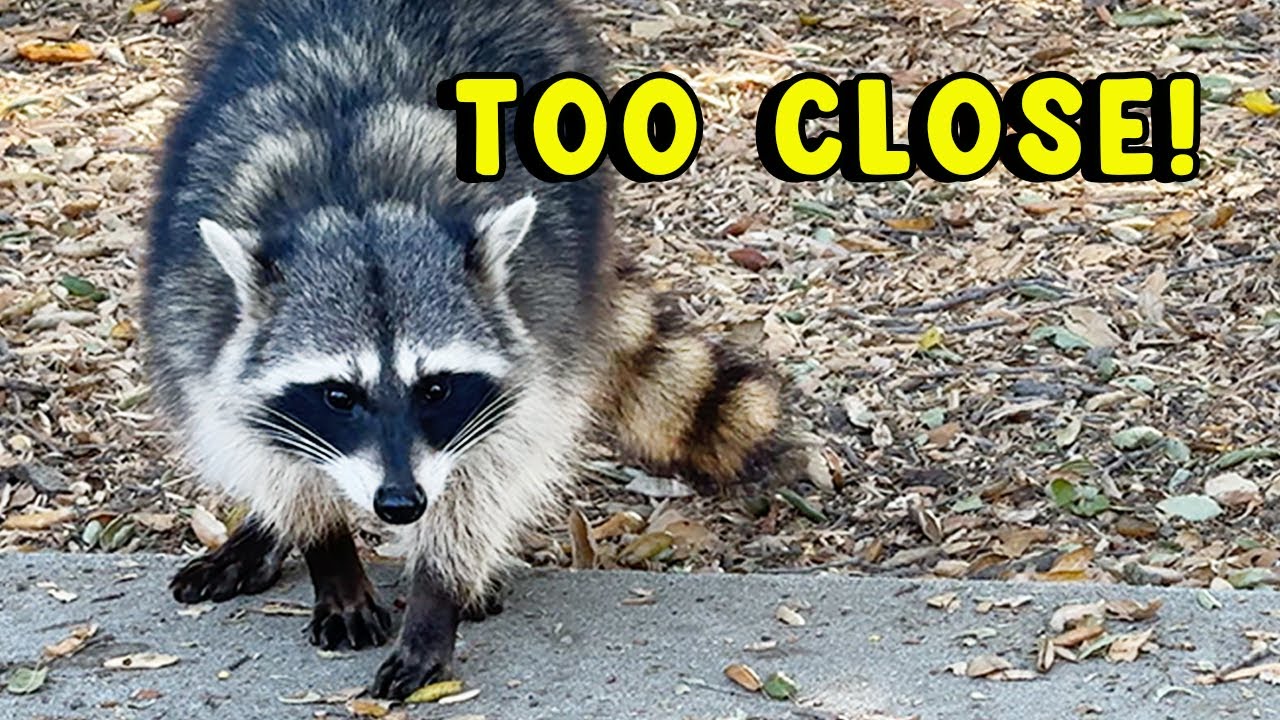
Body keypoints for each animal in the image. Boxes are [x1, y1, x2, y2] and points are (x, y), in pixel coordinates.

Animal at [143, 0, 798, 699]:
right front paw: (327, 552)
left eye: (435, 387)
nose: (400, 505)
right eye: (339, 395)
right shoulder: (195, 313)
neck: (357, 199)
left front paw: (439, 592)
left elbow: (488, 476)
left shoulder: (542, 334)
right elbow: (265, 448)